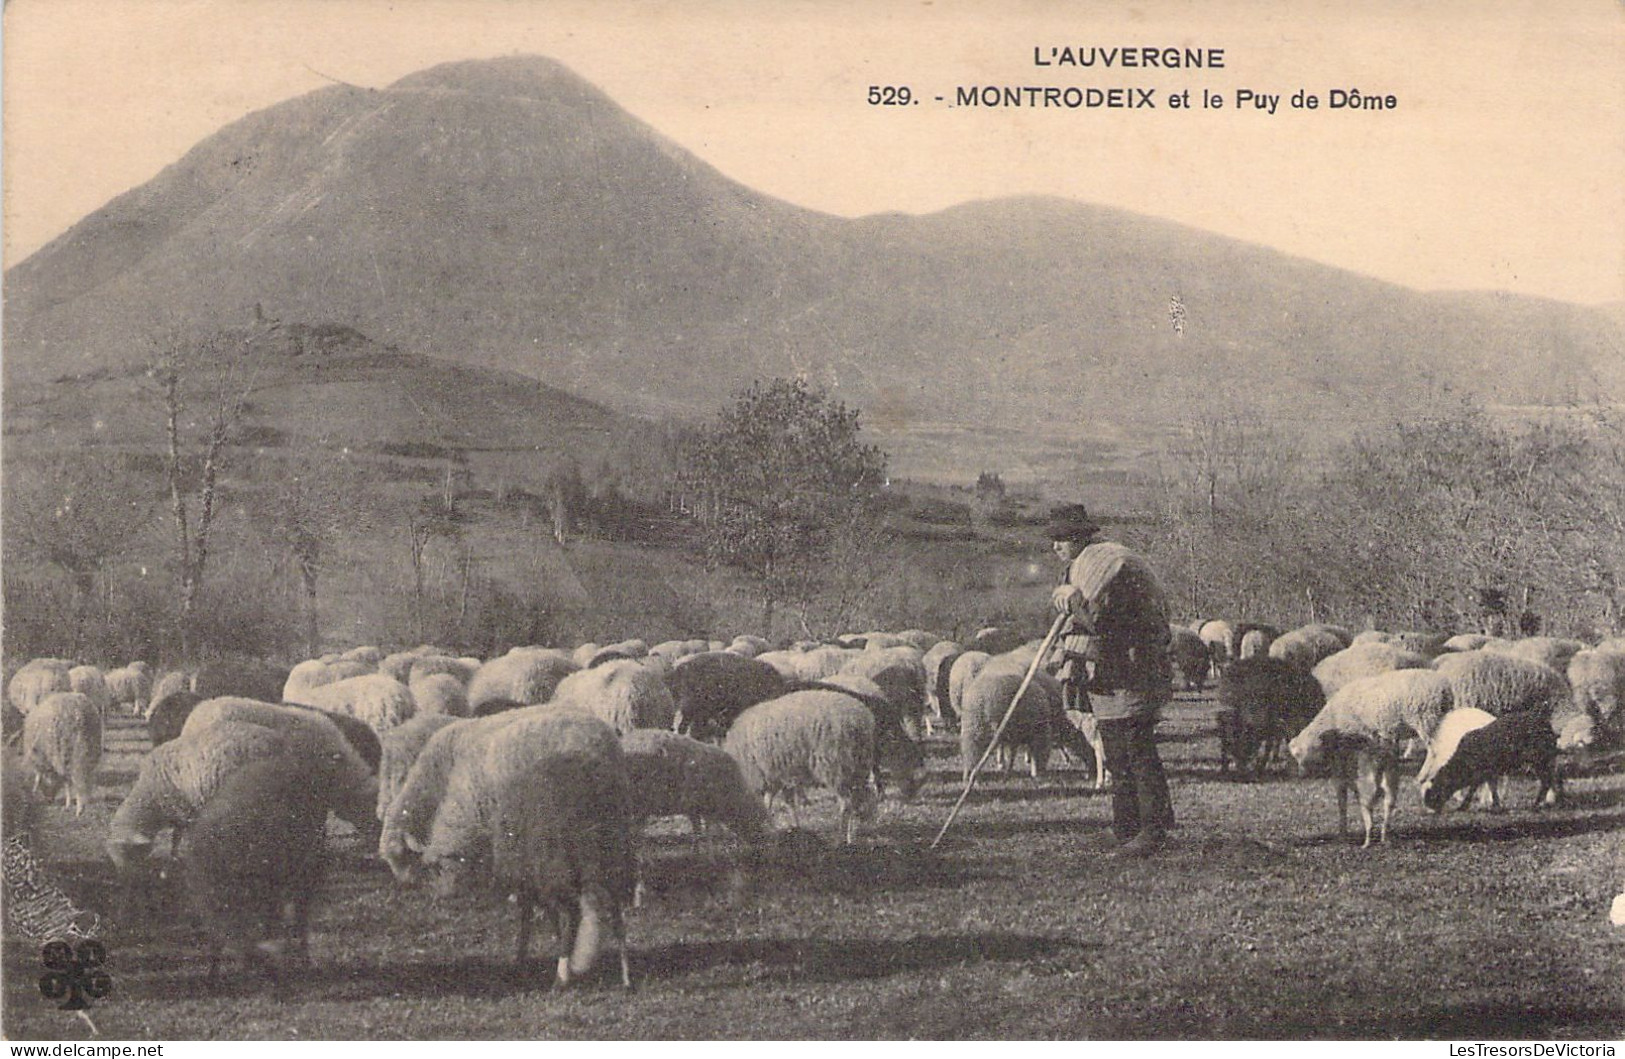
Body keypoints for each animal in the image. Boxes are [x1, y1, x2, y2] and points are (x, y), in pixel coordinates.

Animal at [490, 747, 637, 987]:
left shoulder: (532, 880)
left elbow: (529, 921)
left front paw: (522, 962)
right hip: (615, 861)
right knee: (617, 918)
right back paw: (626, 978)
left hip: (556, 864)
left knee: (572, 914)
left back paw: (561, 977)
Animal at [721, 691, 884, 851]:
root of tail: (862, 719)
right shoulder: (779, 777)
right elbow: (786, 803)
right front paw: (794, 827)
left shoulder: (765, 776)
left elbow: (770, 803)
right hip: (858, 767)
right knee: (861, 800)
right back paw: (852, 837)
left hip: (834, 766)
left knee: (846, 804)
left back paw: (838, 840)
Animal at [1423, 711, 1560, 818]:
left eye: (1438, 787)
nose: (1430, 809)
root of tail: (1548, 727)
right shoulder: (1484, 773)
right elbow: (1483, 787)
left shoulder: (1486, 771)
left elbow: (1485, 788)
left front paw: (1493, 807)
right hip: (1545, 761)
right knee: (1549, 780)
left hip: (1540, 761)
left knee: (1546, 781)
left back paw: (1536, 805)